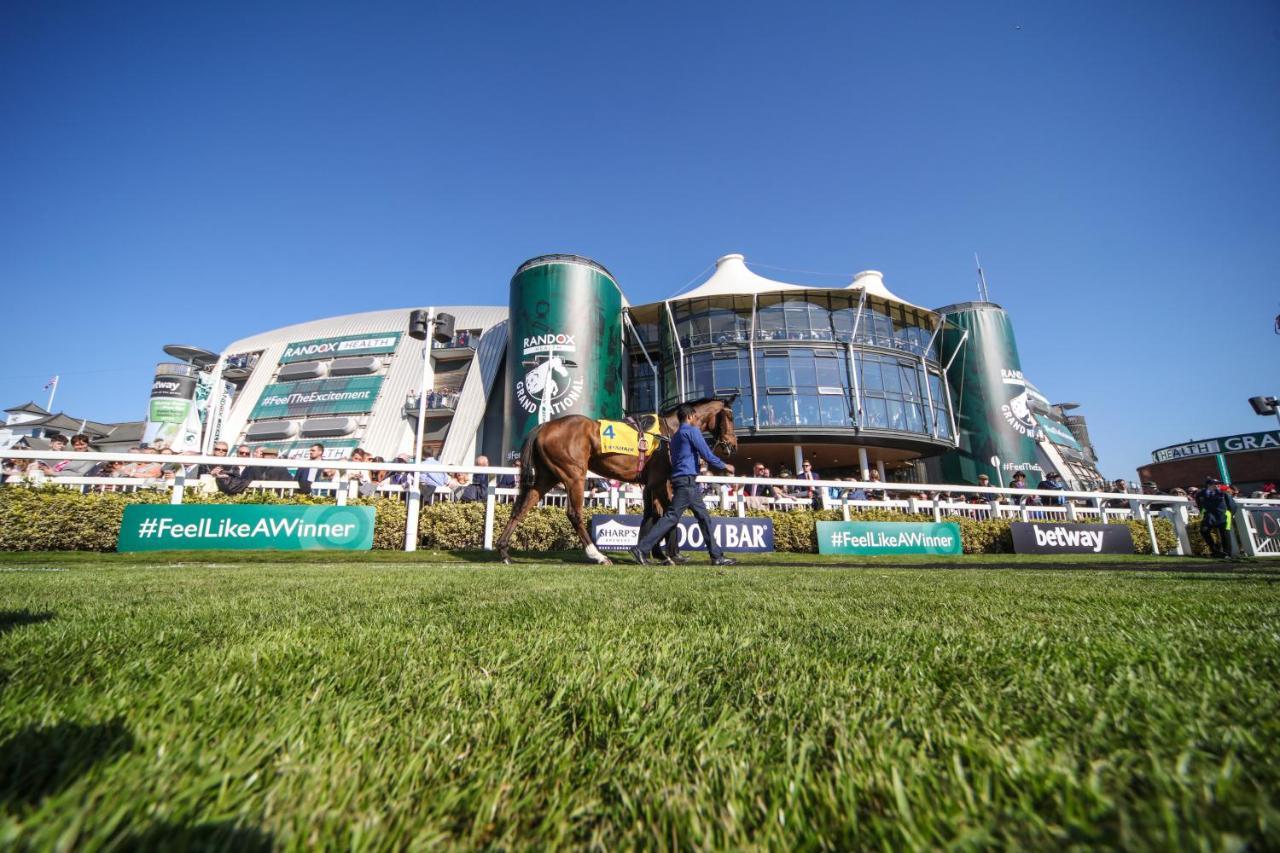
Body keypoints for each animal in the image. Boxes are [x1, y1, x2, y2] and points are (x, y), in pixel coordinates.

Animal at [496, 397, 742, 563]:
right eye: (730, 416)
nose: (733, 444)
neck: (669, 433)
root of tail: (543, 426)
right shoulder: (662, 481)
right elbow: (671, 514)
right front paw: (672, 554)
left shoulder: (649, 483)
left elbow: (653, 514)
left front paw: (652, 552)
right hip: (574, 474)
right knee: (574, 513)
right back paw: (597, 555)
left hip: (547, 476)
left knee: (521, 508)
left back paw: (503, 550)